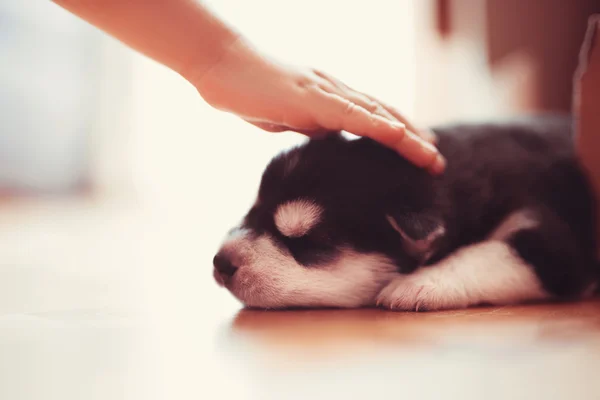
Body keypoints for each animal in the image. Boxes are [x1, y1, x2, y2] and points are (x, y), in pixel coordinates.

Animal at [211, 114, 596, 310]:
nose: (220, 261)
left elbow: (490, 253)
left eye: (308, 241)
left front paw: (420, 284)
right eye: (251, 212)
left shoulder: (554, 243)